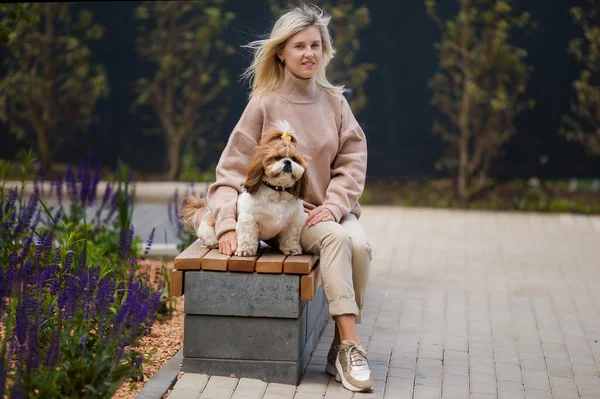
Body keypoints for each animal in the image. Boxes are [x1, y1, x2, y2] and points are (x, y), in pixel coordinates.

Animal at [178, 120, 310, 258]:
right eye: (277, 157)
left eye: (295, 159)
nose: (288, 162)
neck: (278, 191)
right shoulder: (248, 218)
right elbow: (247, 235)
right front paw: (245, 250)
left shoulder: (294, 219)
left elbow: (291, 235)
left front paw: (291, 248)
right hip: (209, 232)